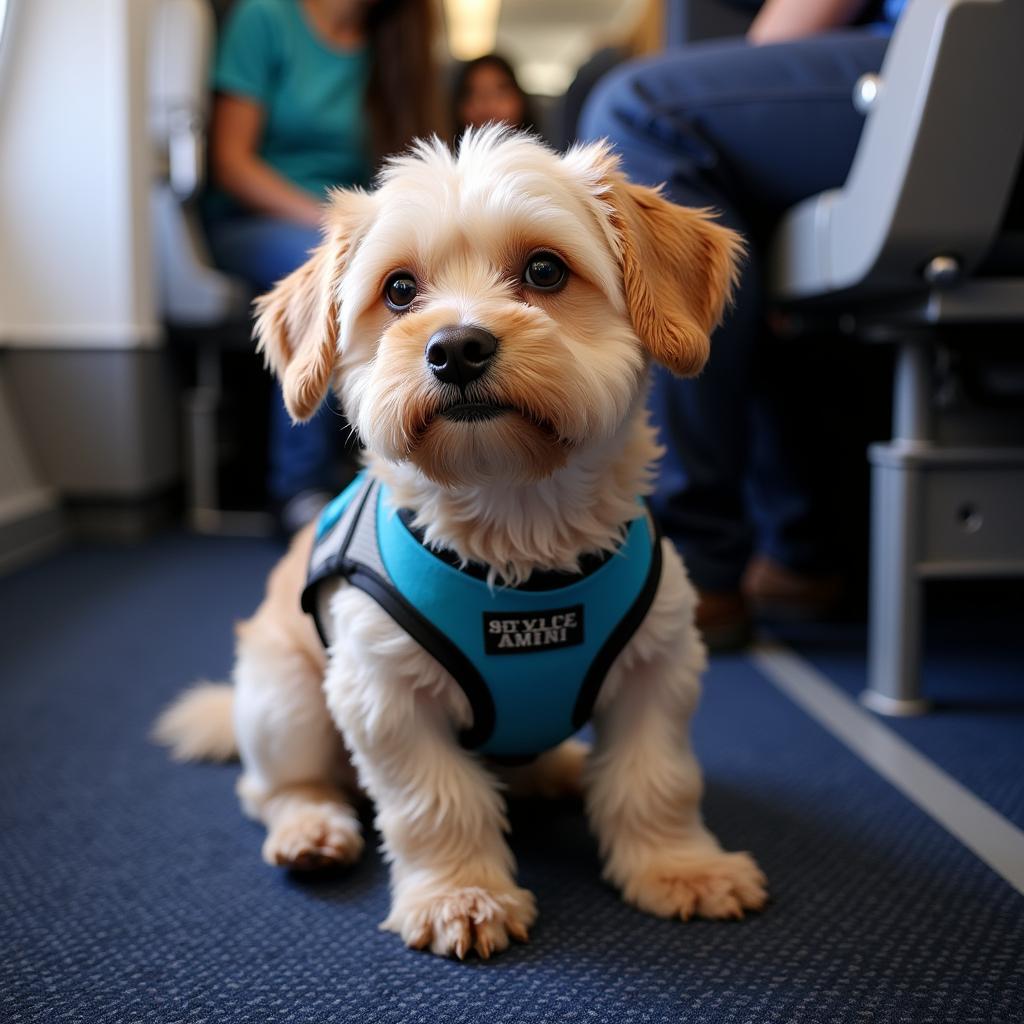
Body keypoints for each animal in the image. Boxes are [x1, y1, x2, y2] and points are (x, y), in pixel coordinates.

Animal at [157, 130, 770, 958]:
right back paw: (311, 828)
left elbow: (657, 780)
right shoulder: (382, 694)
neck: (518, 533)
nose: (456, 348)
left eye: (544, 270)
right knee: (275, 788)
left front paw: (680, 867)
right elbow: (436, 803)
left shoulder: (660, 666)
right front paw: (462, 894)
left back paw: (561, 770)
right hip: (286, 701)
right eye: (399, 291)